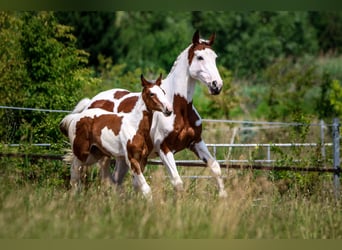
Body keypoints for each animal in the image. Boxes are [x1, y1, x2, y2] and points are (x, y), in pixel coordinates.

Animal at [73, 29, 227, 197]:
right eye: (200, 57)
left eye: (215, 57)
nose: (216, 85)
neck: (179, 108)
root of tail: (91, 102)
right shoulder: (164, 148)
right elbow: (177, 181)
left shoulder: (196, 142)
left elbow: (216, 168)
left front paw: (223, 197)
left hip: (121, 156)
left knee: (117, 180)